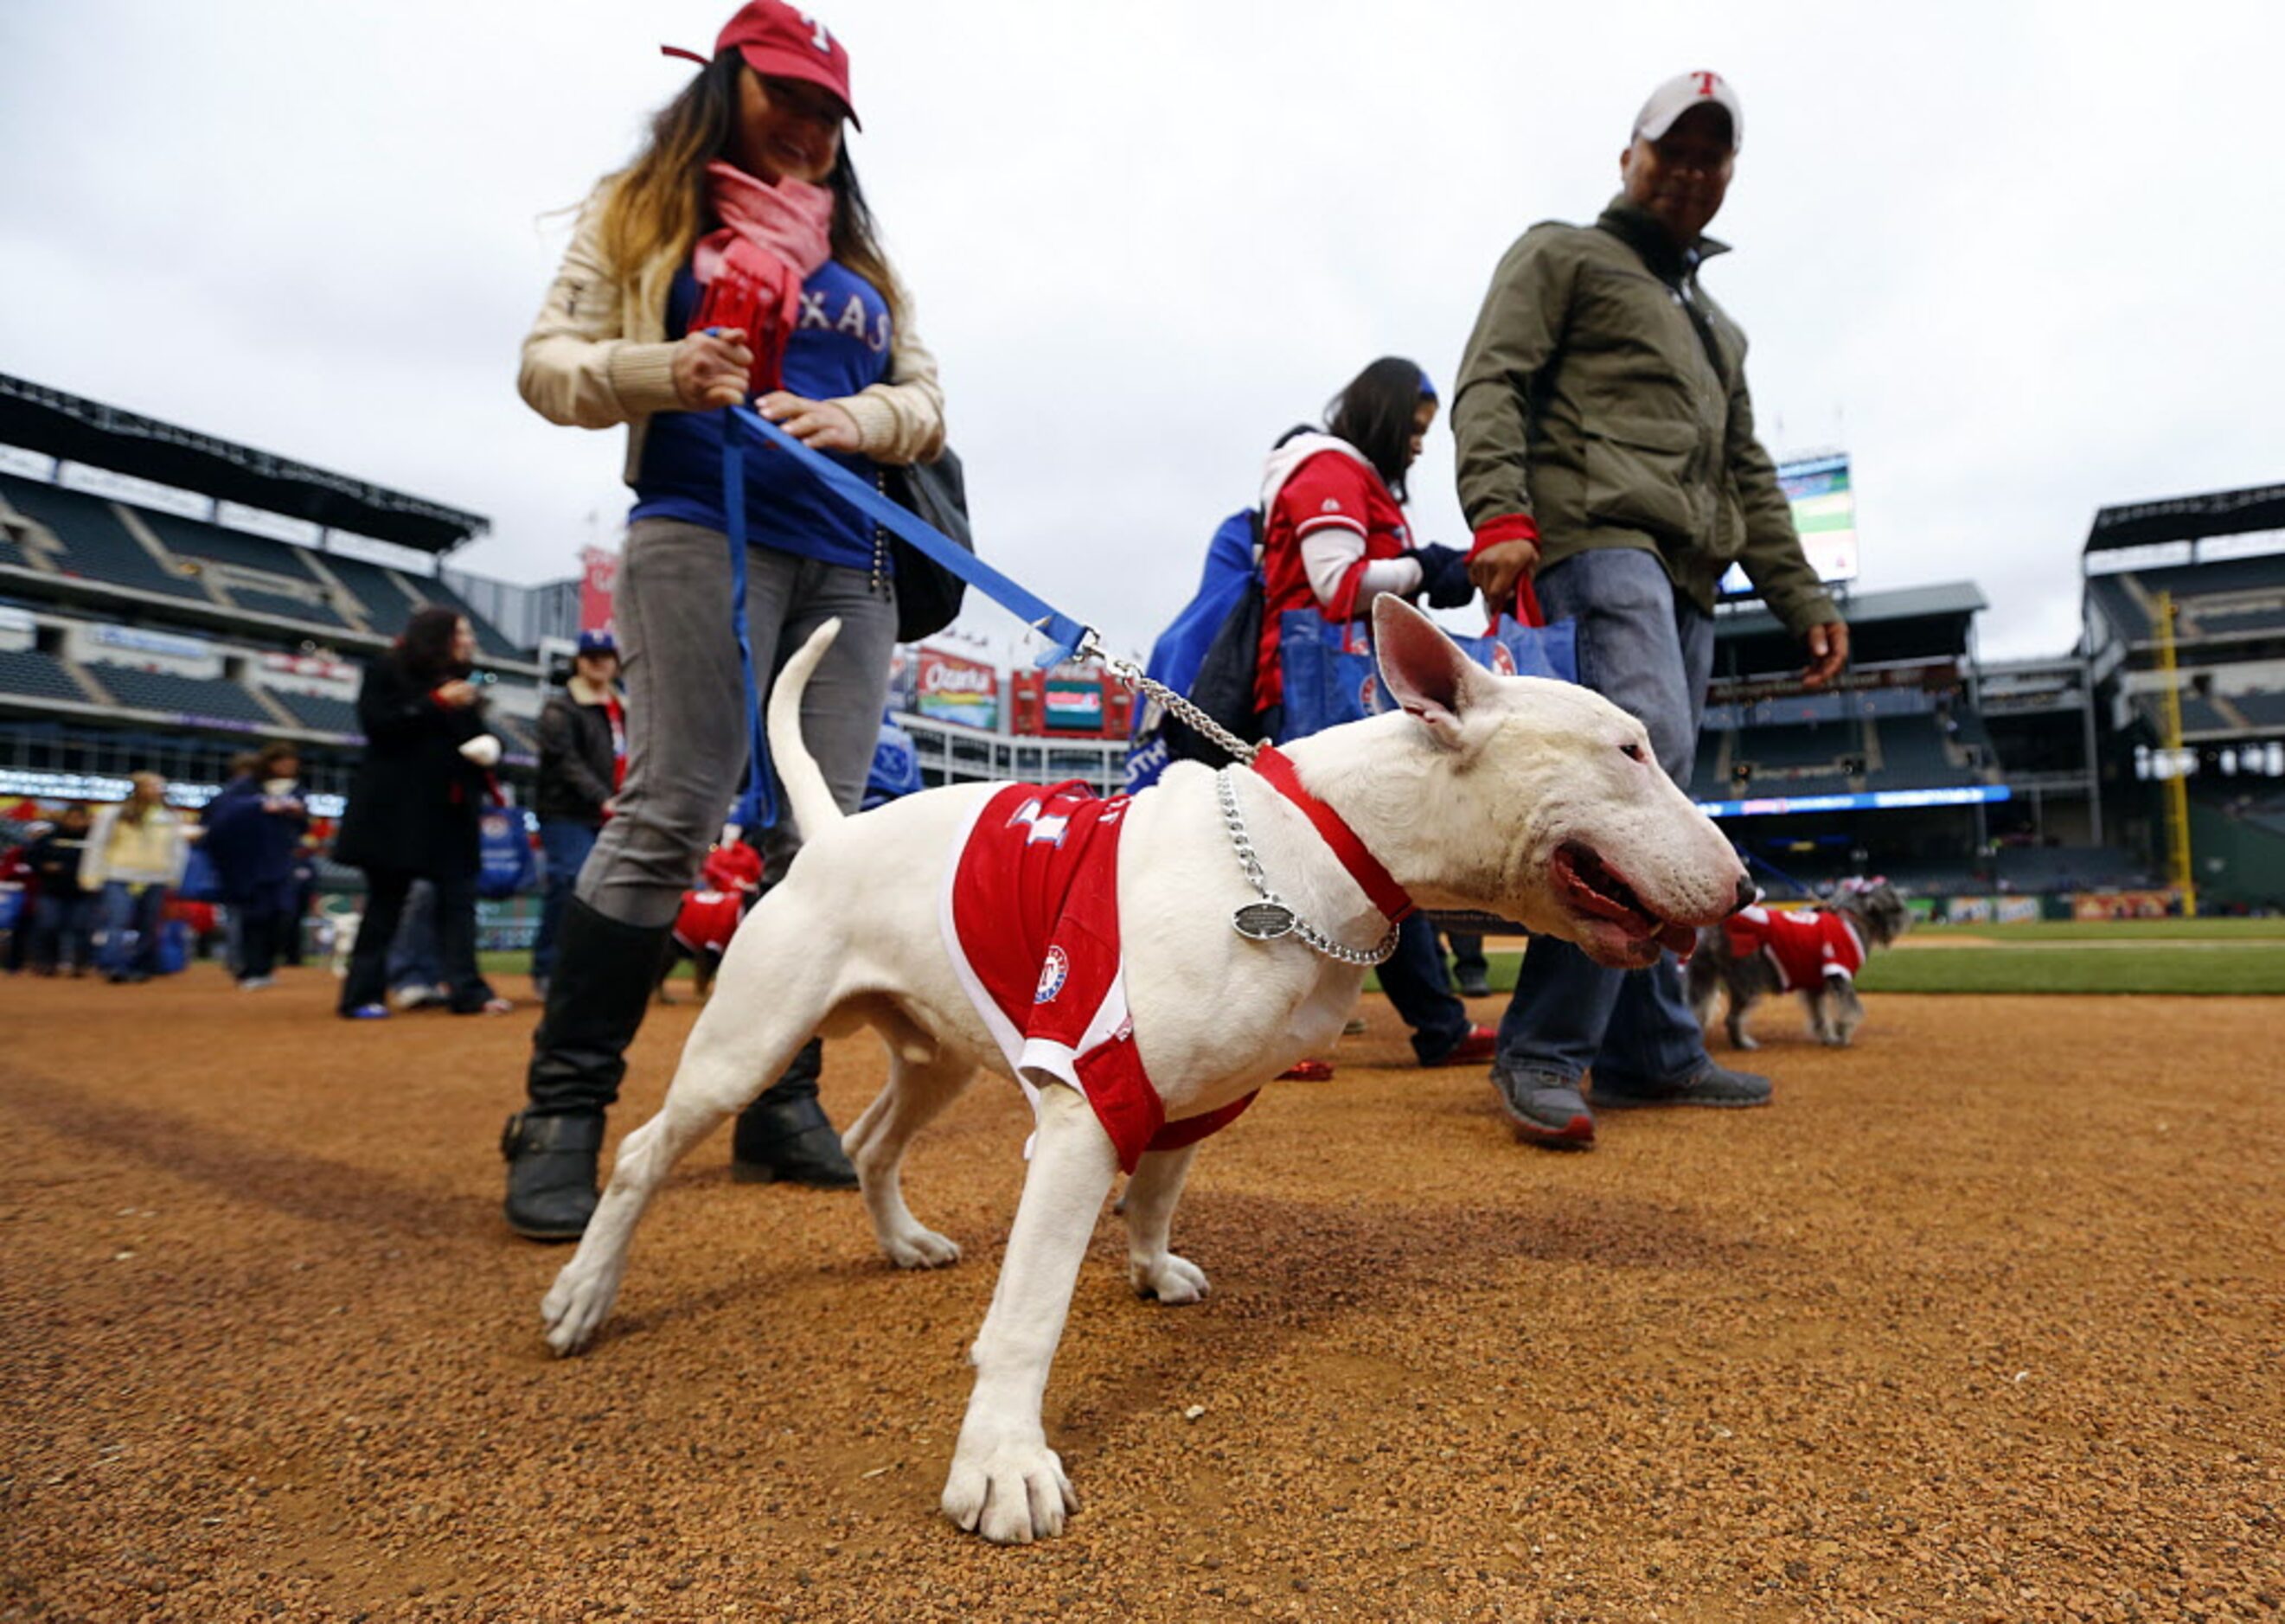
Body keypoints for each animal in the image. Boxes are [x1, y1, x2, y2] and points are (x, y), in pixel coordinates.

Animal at [1681, 881, 1910, 1045]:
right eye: (1897, 907)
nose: (1910, 917)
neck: (1852, 917)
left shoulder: (1815, 986)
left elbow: (1819, 1015)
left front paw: (1828, 1037)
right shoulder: (1839, 975)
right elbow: (1850, 1008)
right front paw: (1843, 1033)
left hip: (1703, 976)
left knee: (1697, 1009)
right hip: (1747, 980)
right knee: (1732, 1018)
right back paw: (1742, 1042)